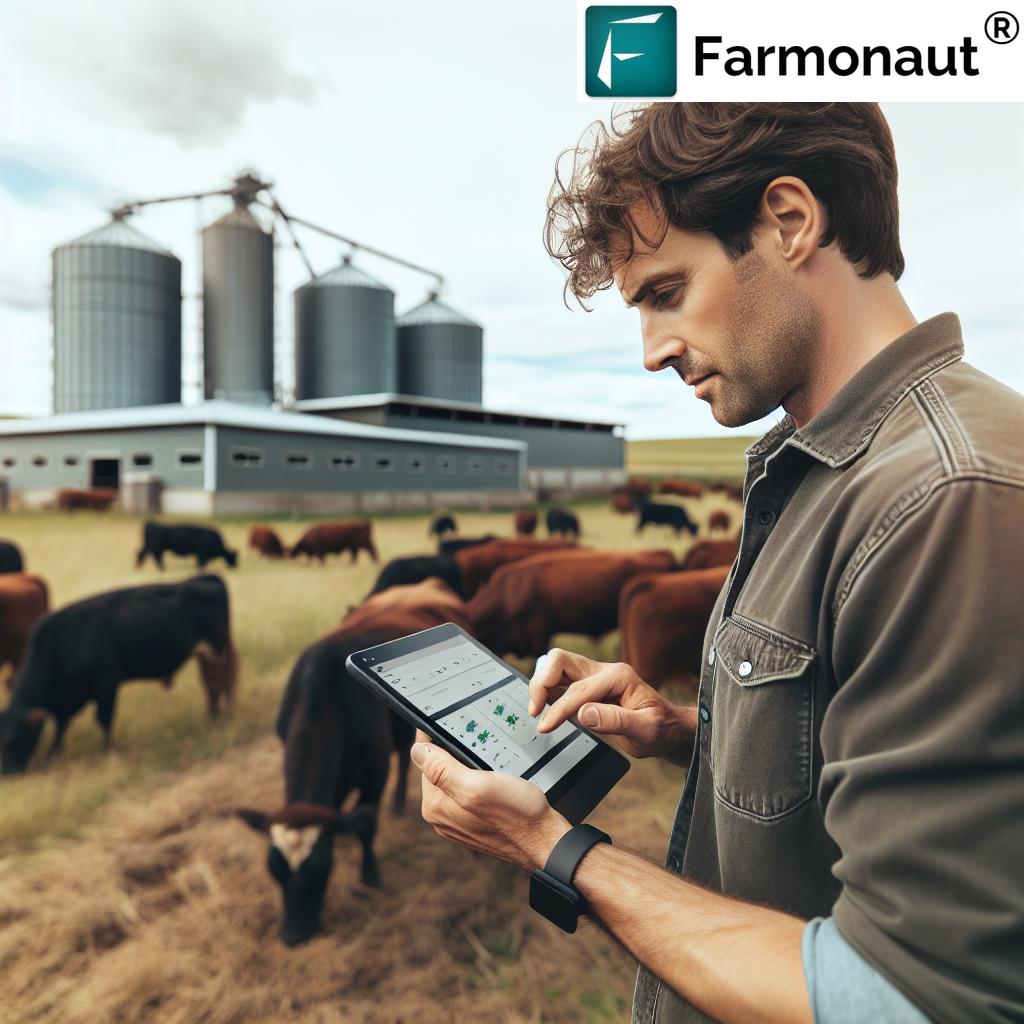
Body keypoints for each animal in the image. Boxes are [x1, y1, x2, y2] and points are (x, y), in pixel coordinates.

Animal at [1, 573, 235, 770]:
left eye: (13, 740)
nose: (7, 773)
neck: (60, 644)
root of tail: (205, 578)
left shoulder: (107, 684)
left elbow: (103, 720)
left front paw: (107, 751)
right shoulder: (65, 701)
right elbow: (61, 727)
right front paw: (53, 754)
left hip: (218, 653)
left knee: (221, 684)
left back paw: (221, 718)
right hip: (205, 656)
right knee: (211, 685)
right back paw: (212, 717)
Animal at [237, 634, 413, 946]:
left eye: (321, 870)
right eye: (274, 870)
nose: (292, 936)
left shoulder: (376, 770)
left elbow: (367, 826)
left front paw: (369, 874)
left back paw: (399, 800)